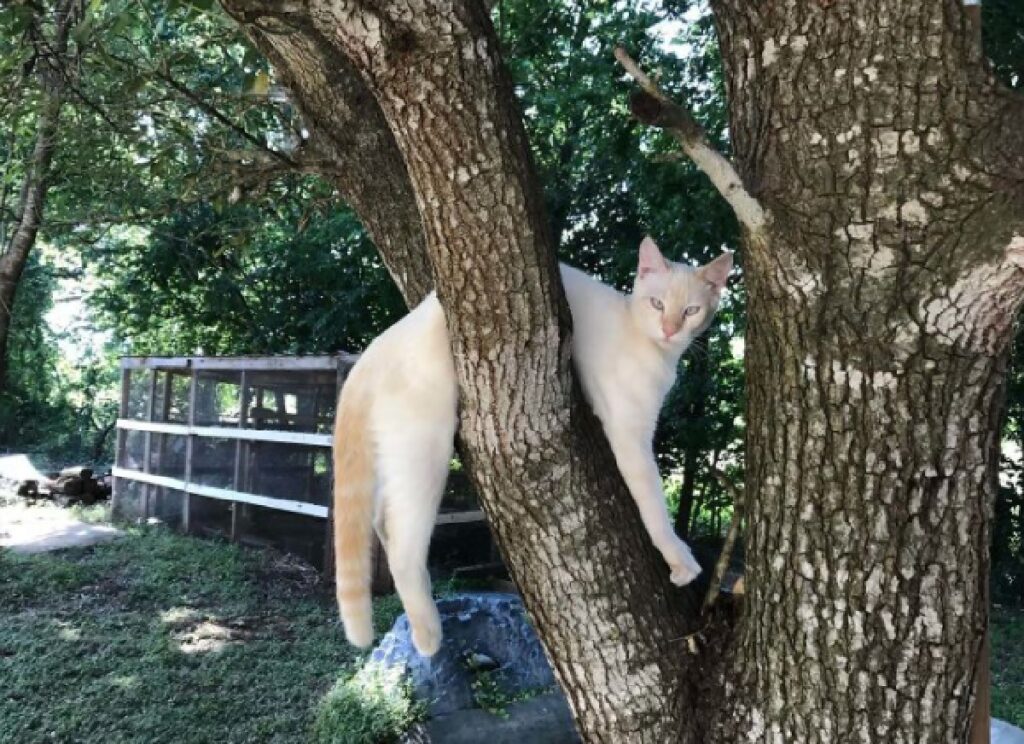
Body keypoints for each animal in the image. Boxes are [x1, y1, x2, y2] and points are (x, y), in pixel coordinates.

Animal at [335, 235, 737, 654]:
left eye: (690, 310)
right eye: (657, 304)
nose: (670, 329)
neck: (650, 345)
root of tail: (378, 346)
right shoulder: (629, 434)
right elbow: (654, 505)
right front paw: (679, 560)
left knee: (381, 520)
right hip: (427, 448)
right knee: (402, 547)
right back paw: (428, 635)